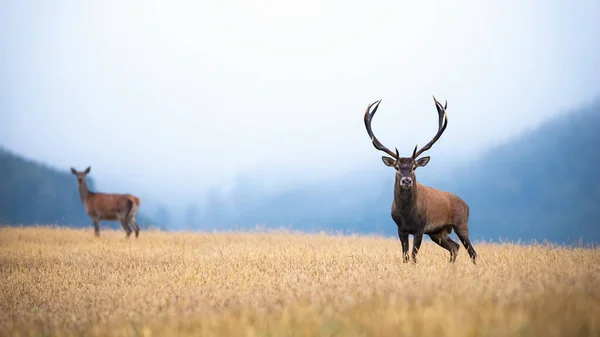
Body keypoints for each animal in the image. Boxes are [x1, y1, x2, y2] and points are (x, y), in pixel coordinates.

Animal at [364, 96, 476, 264]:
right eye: (397, 167)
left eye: (414, 167)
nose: (406, 181)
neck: (407, 214)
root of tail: (466, 205)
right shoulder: (400, 229)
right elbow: (405, 256)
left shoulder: (420, 228)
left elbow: (413, 256)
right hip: (438, 232)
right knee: (454, 247)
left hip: (461, 223)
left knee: (471, 251)